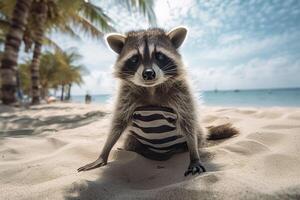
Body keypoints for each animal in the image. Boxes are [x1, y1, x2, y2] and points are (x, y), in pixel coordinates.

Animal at [77, 26, 237, 175]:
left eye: (159, 56)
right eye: (135, 59)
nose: (148, 73)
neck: (151, 89)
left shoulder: (183, 93)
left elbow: (188, 122)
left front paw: (194, 156)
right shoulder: (125, 96)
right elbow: (117, 124)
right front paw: (103, 153)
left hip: (197, 135)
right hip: (134, 140)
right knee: (130, 143)